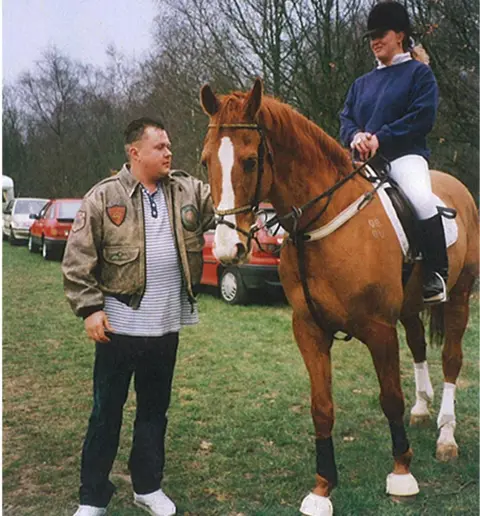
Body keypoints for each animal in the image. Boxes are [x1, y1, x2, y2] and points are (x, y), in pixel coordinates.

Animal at [200, 77, 480, 516]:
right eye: (204, 161)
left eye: (248, 161)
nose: (229, 248)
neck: (322, 224)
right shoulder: (310, 330)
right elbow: (322, 408)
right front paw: (322, 489)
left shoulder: (379, 329)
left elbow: (390, 397)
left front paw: (402, 475)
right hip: (411, 307)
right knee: (419, 345)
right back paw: (422, 409)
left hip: (460, 297)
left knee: (451, 360)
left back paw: (446, 437)